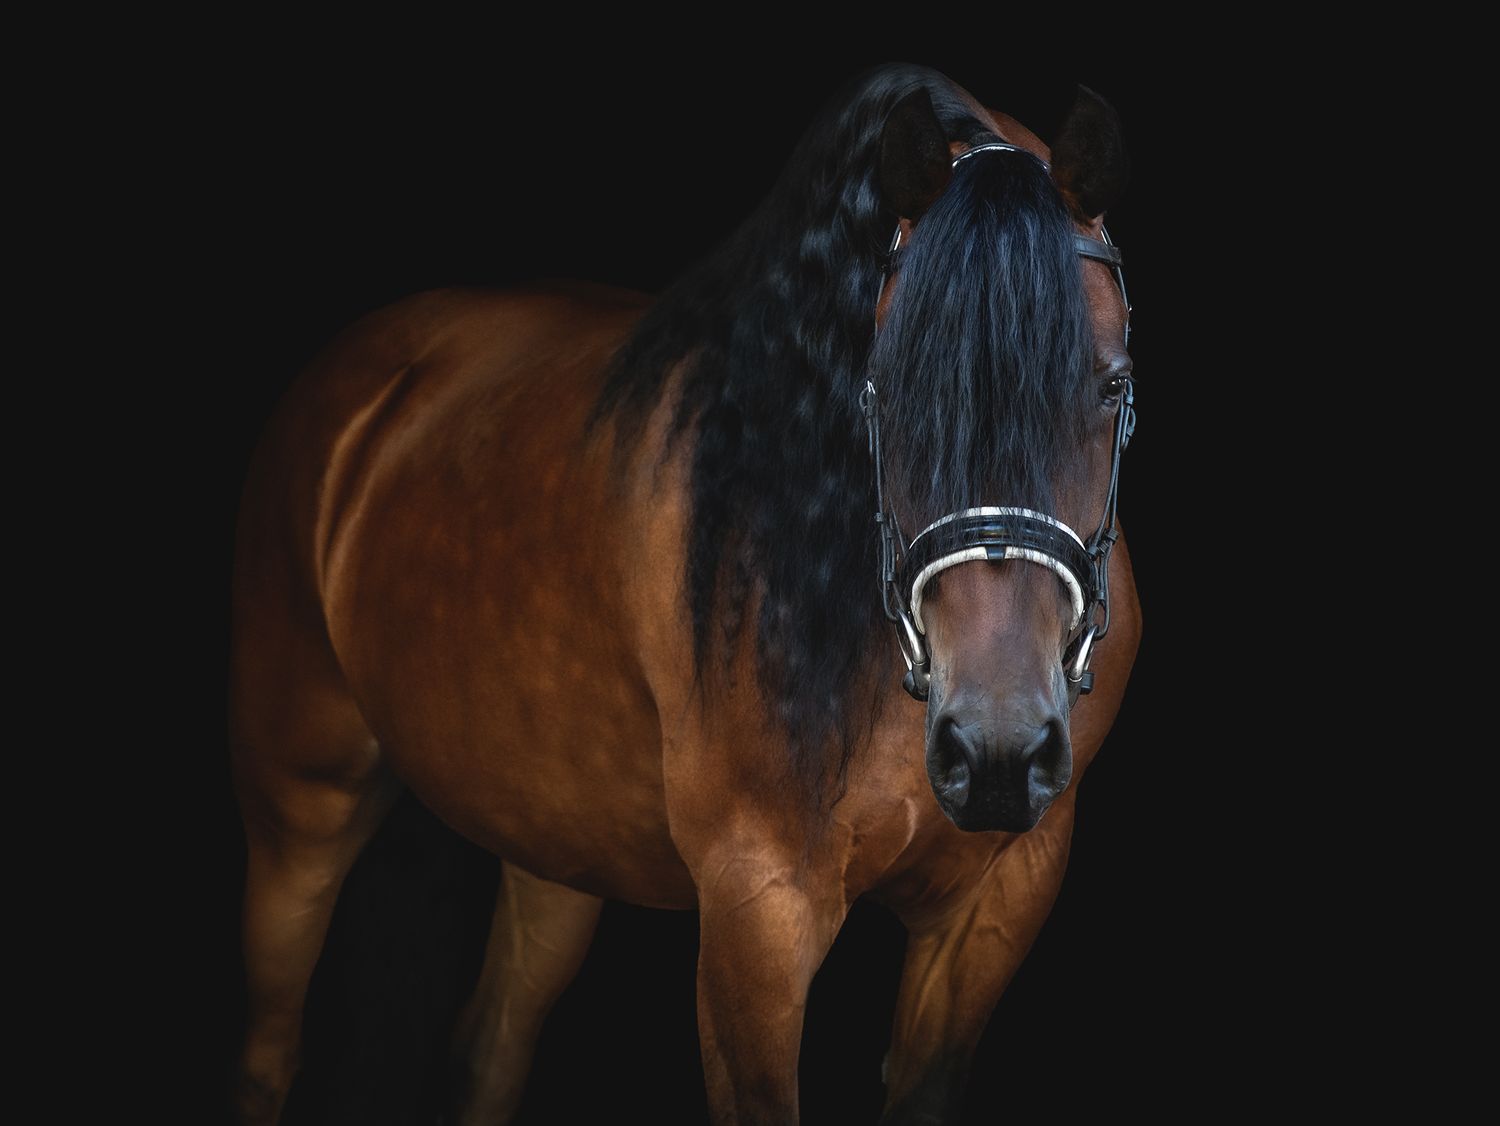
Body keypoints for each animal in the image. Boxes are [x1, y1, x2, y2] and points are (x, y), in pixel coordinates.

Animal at [229, 62, 1140, 1125]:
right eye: (882, 386)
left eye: (1112, 385)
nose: (995, 750)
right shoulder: (759, 911)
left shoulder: (997, 904)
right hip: (302, 800)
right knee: (270, 1049)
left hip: (553, 840)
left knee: (489, 1051)